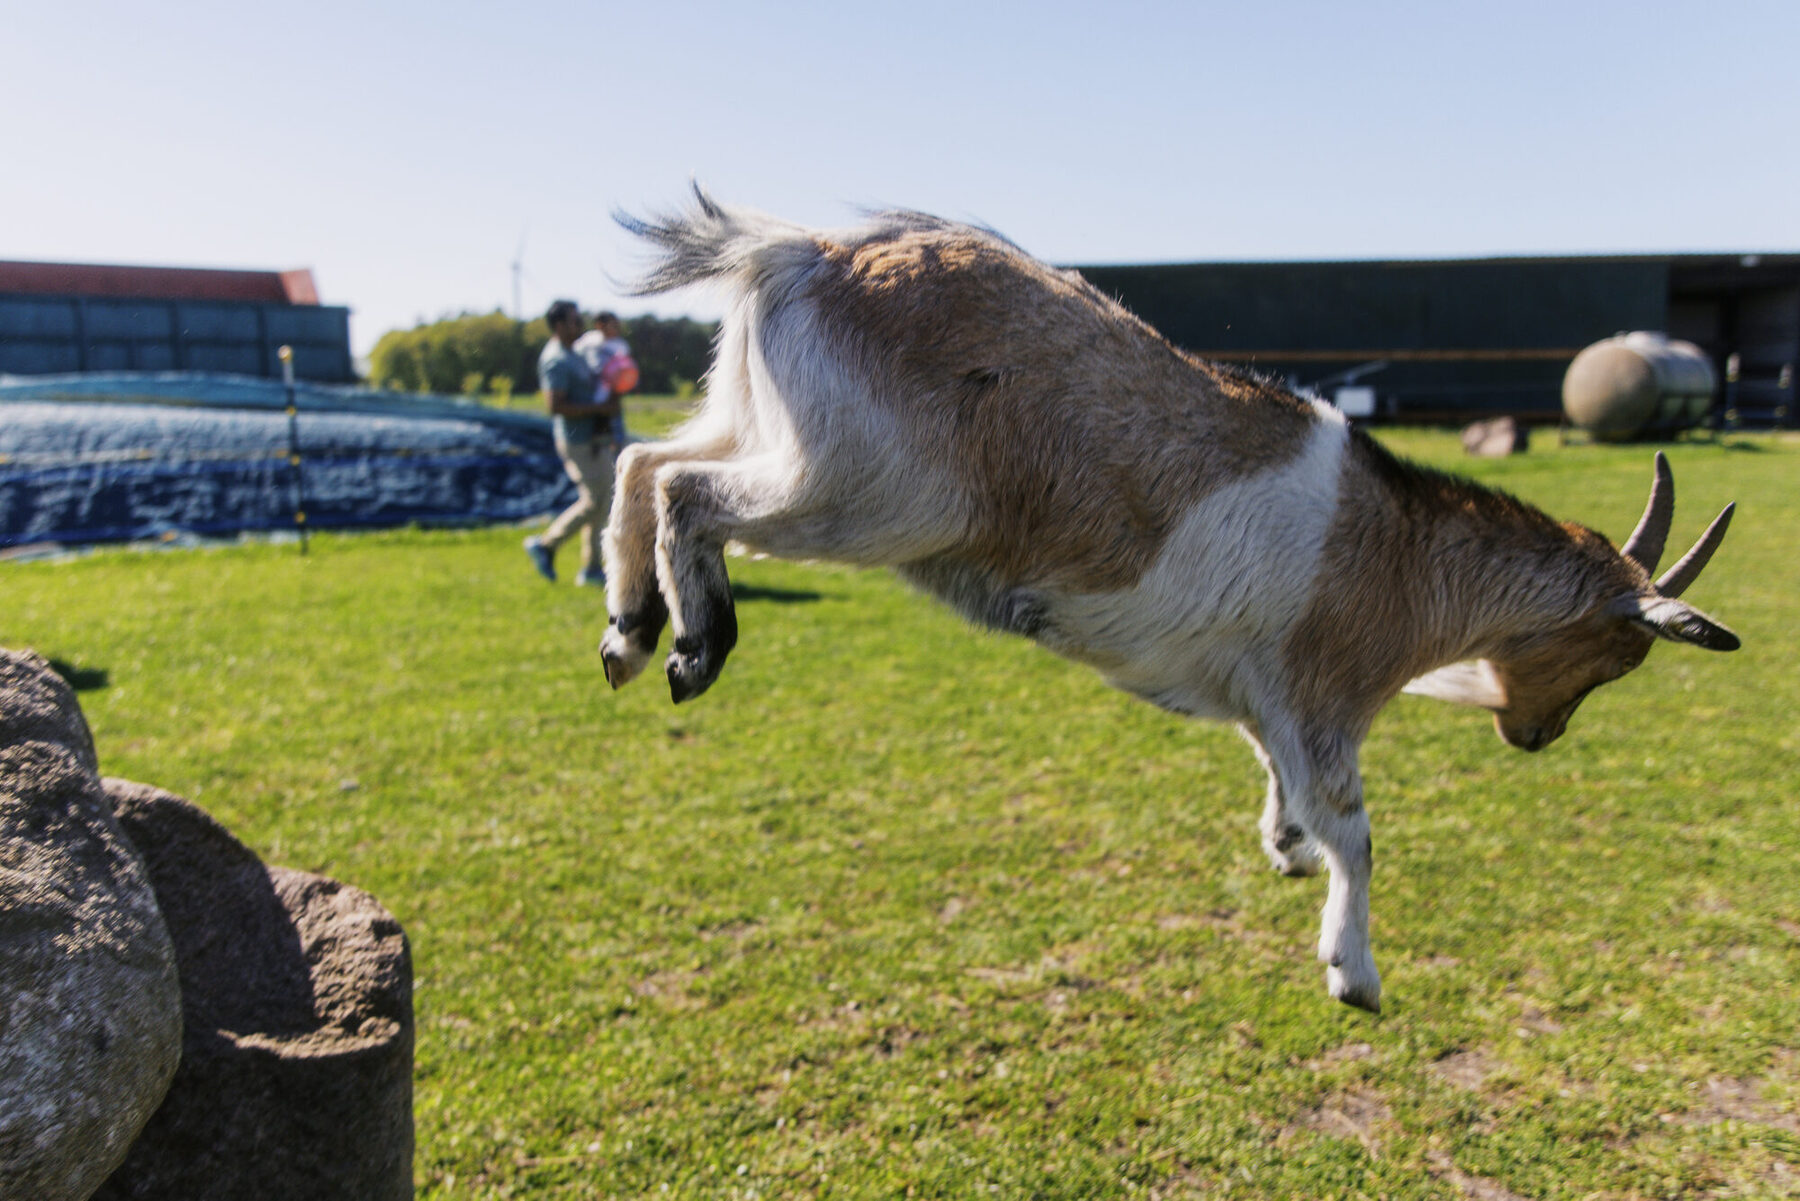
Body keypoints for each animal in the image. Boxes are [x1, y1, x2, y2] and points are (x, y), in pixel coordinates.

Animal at [599, 186, 1740, 1012]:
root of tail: (801, 252)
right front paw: (1356, 973)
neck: (1401, 554)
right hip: (870, 492)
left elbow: (1285, 788)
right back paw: (695, 646)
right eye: (1621, 653)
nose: (1534, 736)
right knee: (690, 492)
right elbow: (1356, 830)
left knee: (641, 458)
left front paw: (1283, 849)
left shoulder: (1264, 699)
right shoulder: (1320, 699)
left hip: (771, 427)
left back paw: (628, 630)